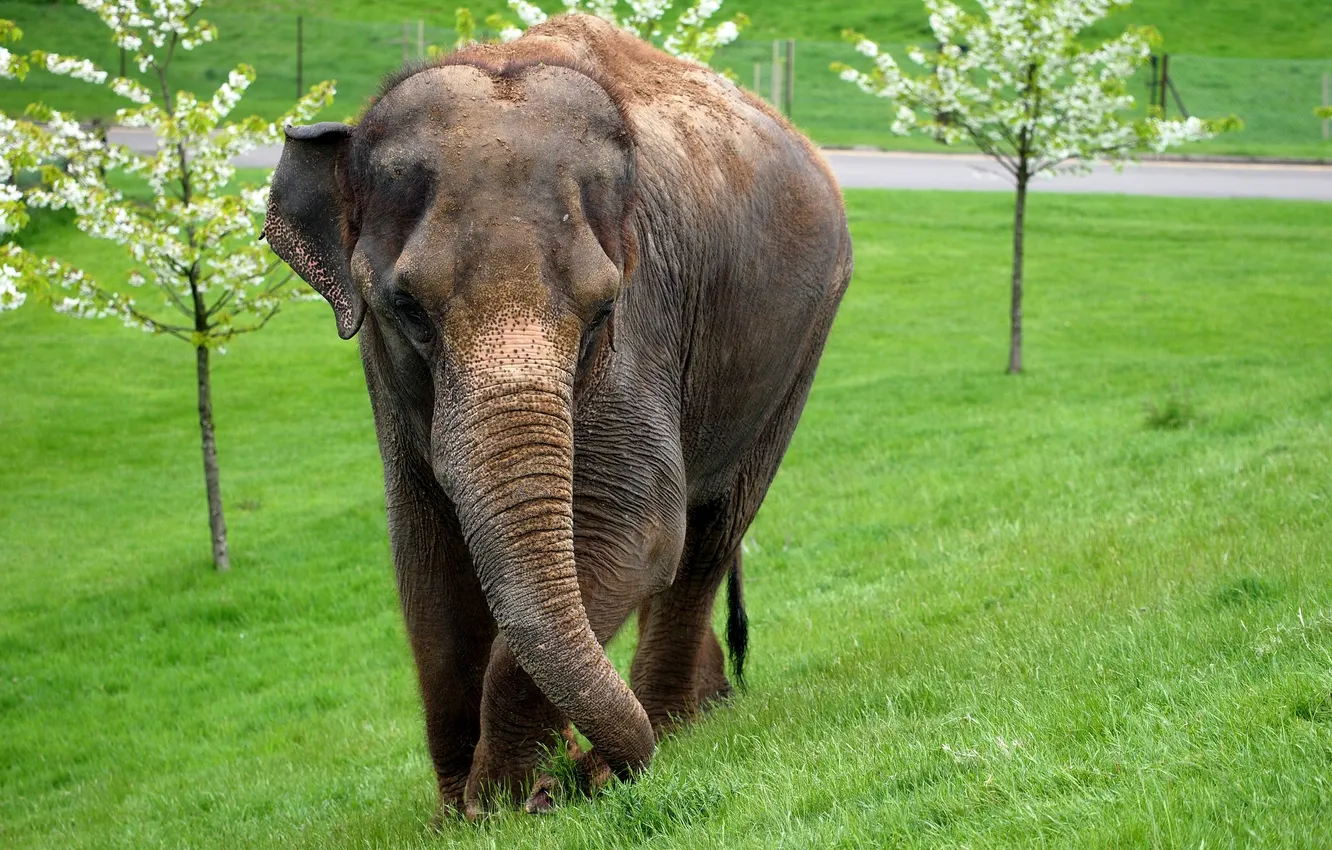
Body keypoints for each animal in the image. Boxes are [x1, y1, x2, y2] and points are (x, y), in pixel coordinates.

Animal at [262, 13, 852, 818]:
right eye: (406, 307)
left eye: (603, 310)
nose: (578, 769)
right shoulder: (383, 374)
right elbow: (424, 555)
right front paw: (464, 813)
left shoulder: (646, 317)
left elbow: (637, 526)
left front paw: (512, 799)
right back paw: (696, 715)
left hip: (803, 340)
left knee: (710, 532)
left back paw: (671, 725)